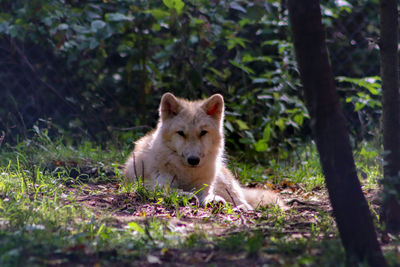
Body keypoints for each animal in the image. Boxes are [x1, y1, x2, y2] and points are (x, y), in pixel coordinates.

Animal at [123, 93, 286, 210]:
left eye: (203, 133)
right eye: (181, 133)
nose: (193, 160)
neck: (186, 173)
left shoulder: (204, 185)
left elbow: (206, 194)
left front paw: (212, 200)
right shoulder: (152, 184)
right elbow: (170, 189)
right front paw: (185, 195)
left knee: (243, 202)